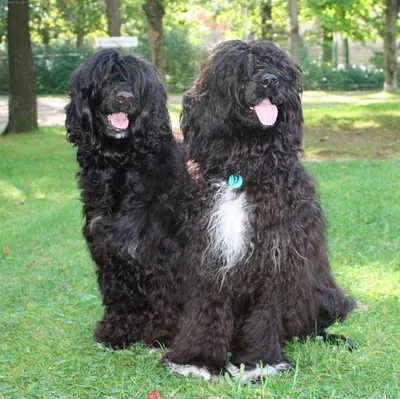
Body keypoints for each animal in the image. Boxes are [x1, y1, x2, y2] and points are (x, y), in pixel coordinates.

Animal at [65, 49, 186, 350]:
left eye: (135, 84)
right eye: (106, 79)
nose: (125, 98)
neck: (122, 164)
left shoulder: (165, 249)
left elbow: (167, 293)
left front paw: (164, 334)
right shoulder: (109, 248)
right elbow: (120, 294)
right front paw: (117, 331)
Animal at [163, 39, 356, 382]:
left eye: (277, 67)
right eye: (242, 69)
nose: (270, 81)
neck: (244, 166)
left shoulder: (275, 257)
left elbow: (264, 315)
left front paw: (257, 363)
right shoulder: (210, 252)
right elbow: (207, 308)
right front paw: (196, 360)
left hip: (320, 293)